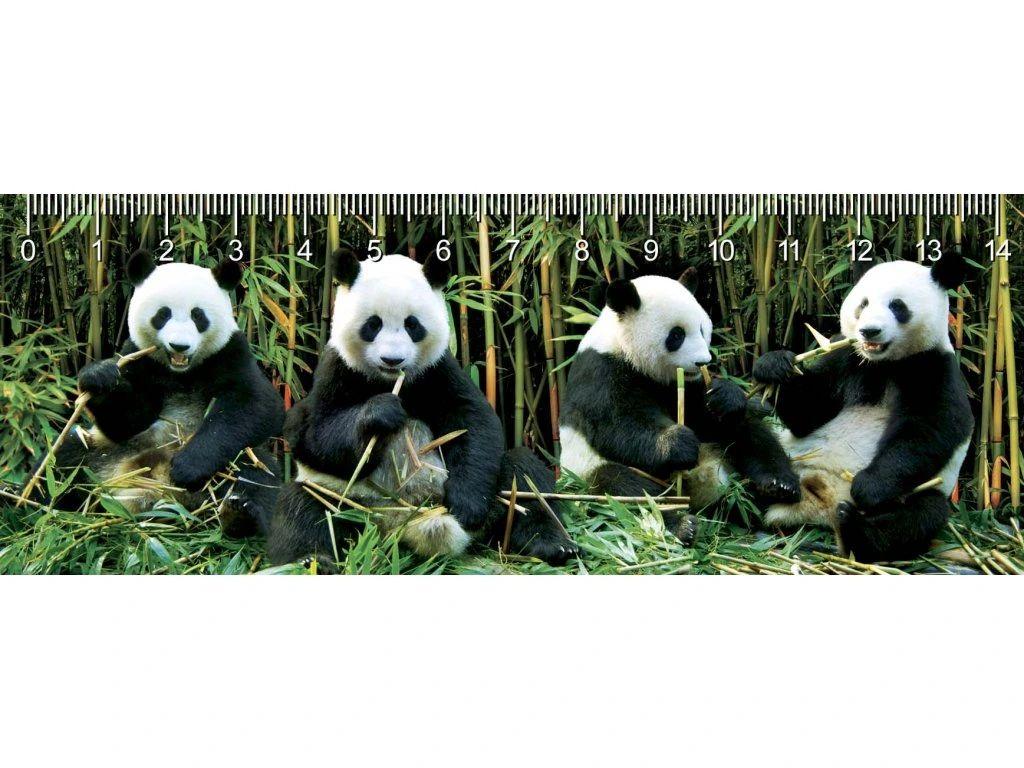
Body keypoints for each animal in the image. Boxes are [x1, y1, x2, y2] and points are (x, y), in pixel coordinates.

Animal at [36, 250, 285, 536]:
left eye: (198, 316)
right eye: (163, 314)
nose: (179, 346)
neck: (181, 372)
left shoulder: (231, 353)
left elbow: (256, 406)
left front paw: (188, 466)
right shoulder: (139, 358)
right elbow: (127, 421)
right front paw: (100, 378)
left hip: (234, 463)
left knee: (256, 475)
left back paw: (239, 515)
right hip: (104, 451)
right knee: (62, 460)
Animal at [266, 251, 578, 568]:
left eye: (412, 324)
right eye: (373, 324)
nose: (392, 360)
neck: (389, 380)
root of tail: (402, 525)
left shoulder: (437, 370)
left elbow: (472, 420)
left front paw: (467, 505)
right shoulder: (338, 370)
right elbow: (315, 434)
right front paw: (382, 413)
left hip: (498, 495)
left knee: (525, 479)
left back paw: (552, 545)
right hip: (348, 501)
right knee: (303, 506)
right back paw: (312, 559)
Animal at [560, 274, 801, 537]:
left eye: (703, 329)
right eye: (676, 335)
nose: (703, 361)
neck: (623, 346)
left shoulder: (680, 384)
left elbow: (706, 414)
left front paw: (725, 396)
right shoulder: (600, 372)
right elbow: (617, 423)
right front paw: (678, 444)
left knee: (750, 432)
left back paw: (778, 486)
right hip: (587, 471)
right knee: (626, 490)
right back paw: (682, 524)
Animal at [751, 248, 974, 562]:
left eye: (897, 306)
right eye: (863, 303)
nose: (869, 331)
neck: (885, 363)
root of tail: (818, 507)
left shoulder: (934, 367)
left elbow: (928, 431)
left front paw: (868, 486)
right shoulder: (847, 357)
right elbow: (808, 413)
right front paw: (775, 365)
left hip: (921, 493)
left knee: (919, 516)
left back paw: (854, 527)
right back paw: (773, 485)